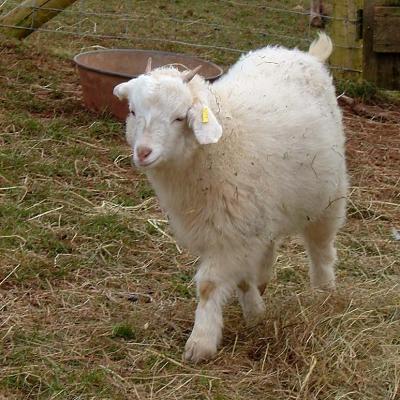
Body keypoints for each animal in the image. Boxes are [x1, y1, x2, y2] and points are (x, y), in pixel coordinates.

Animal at [113, 32, 346, 364]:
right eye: (133, 111)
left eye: (179, 118)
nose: (144, 152)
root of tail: (304, 54)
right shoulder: (237, 228)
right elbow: (242, 278)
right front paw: (255, 312)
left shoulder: (233, 232)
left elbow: (209, 285)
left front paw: (201, 341)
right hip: (265, 209)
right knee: (269, 245)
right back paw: (265, 280)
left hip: (328, 196)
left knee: (321, 249)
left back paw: (325, 292)